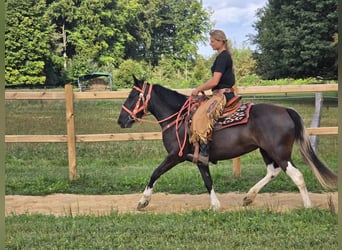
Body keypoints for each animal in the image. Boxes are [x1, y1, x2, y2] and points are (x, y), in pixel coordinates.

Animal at [117, 76, 336, 211]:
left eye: (132, 96)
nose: (121, 121)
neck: (178, 119)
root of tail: (285, 110)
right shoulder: (198, 159)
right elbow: (207, 180)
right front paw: (215, 204)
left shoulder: (175, 155)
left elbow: (155, 173)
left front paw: (143, 201)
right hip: (266, 150)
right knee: (273, 172)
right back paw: (248, 197)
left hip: (279, 152)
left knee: (296, 175)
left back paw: (307, 205)